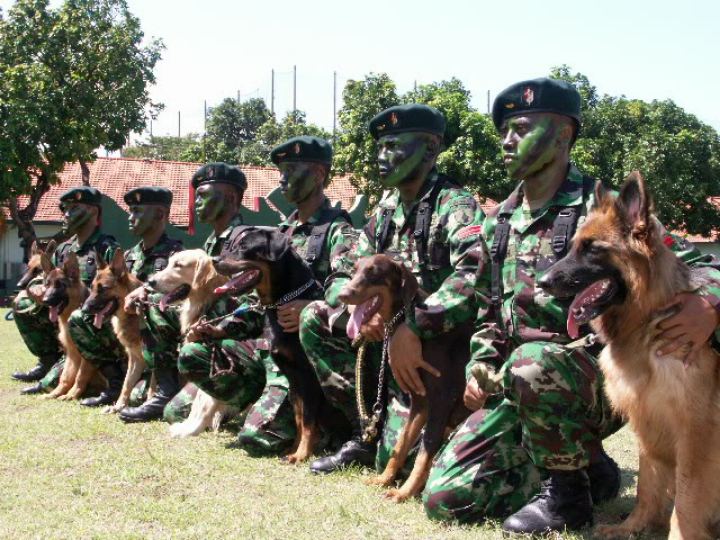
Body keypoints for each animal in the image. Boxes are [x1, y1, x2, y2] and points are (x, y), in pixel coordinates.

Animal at [38, 251, 105, 398]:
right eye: (47, 284)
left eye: (60, 285)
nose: (45, 301)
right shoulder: (72, 354)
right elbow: (66, 377)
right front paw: (55, 394)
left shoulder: (87, 356)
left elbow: (79, 376)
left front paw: (72, 395)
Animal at [82, 249, 146, 414]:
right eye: (92, 287)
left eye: (103, 288)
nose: (84, 309)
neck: (132, 315)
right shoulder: (135, 359)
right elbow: (127, 384)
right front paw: (118, 406)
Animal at [212, 228, 350, 464]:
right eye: (233, 245)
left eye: (244, 247)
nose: (214, 260)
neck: (282, 301)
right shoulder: (293, 377)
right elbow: (299, 417)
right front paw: (293, 450)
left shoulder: (308, 375)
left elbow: (308, 419)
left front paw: (301, 454)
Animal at [342, 255, 476, 504]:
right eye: (353, 270)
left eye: (374, 272)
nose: (343, 295)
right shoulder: (420, 401)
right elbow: (401, 444)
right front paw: (385, 479)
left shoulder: (441, 401)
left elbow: (425, 452)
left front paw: (404, 491)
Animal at [540, 174, 720, 540]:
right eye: (574, 246)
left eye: (593, 248)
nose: (542, 281)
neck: (645, 323)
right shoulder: (648, 420)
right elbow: (647, 485)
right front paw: (633, 526)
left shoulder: (696, 433)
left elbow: (687, 497)